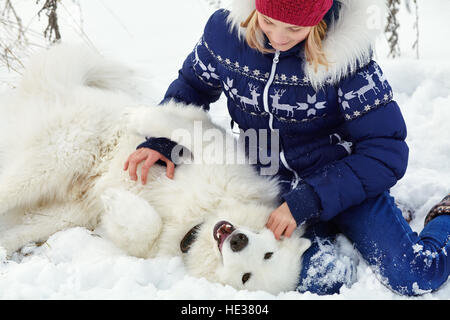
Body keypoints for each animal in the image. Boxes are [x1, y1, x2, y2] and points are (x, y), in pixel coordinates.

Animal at [0, 45, 310, 296]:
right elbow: (177, 127)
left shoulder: (151, 244)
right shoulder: (213, 152)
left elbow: (145, 230)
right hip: (53, 162)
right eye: (269, 254)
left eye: (247, 276)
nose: (237, 241)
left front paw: (117, 201)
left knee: (17, 230)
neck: (201, 216)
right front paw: (137, 117)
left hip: (63, 214)